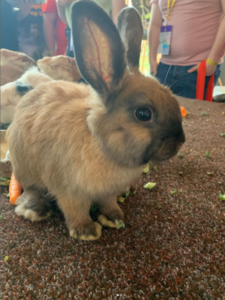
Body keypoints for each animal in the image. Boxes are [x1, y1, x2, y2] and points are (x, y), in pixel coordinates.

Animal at [6, 0, 185, 239]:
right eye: (143, 114)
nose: (181, 140)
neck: (100, 143)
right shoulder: (70, 192)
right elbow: (76, 210)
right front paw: (87, 231)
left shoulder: (107, 192)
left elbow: (108, 203)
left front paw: (114, 218)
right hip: (25, 169)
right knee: (32, 190)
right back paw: (35, 210)